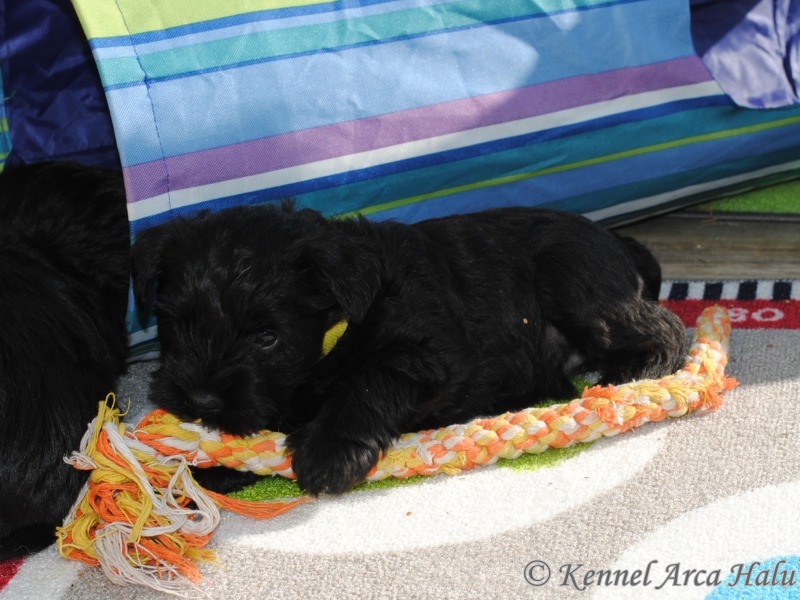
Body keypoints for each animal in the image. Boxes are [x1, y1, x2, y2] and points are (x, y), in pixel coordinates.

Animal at [132, 203, 686, 496]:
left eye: (267, 337)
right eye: (176, 323)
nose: (200, 401)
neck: (339, 321)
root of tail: (617, 240)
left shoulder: (425, 354)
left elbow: (368, 381)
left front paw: (328, 452)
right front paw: (194, 476)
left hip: (571, 281)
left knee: (668, 330)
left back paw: (624, 379)